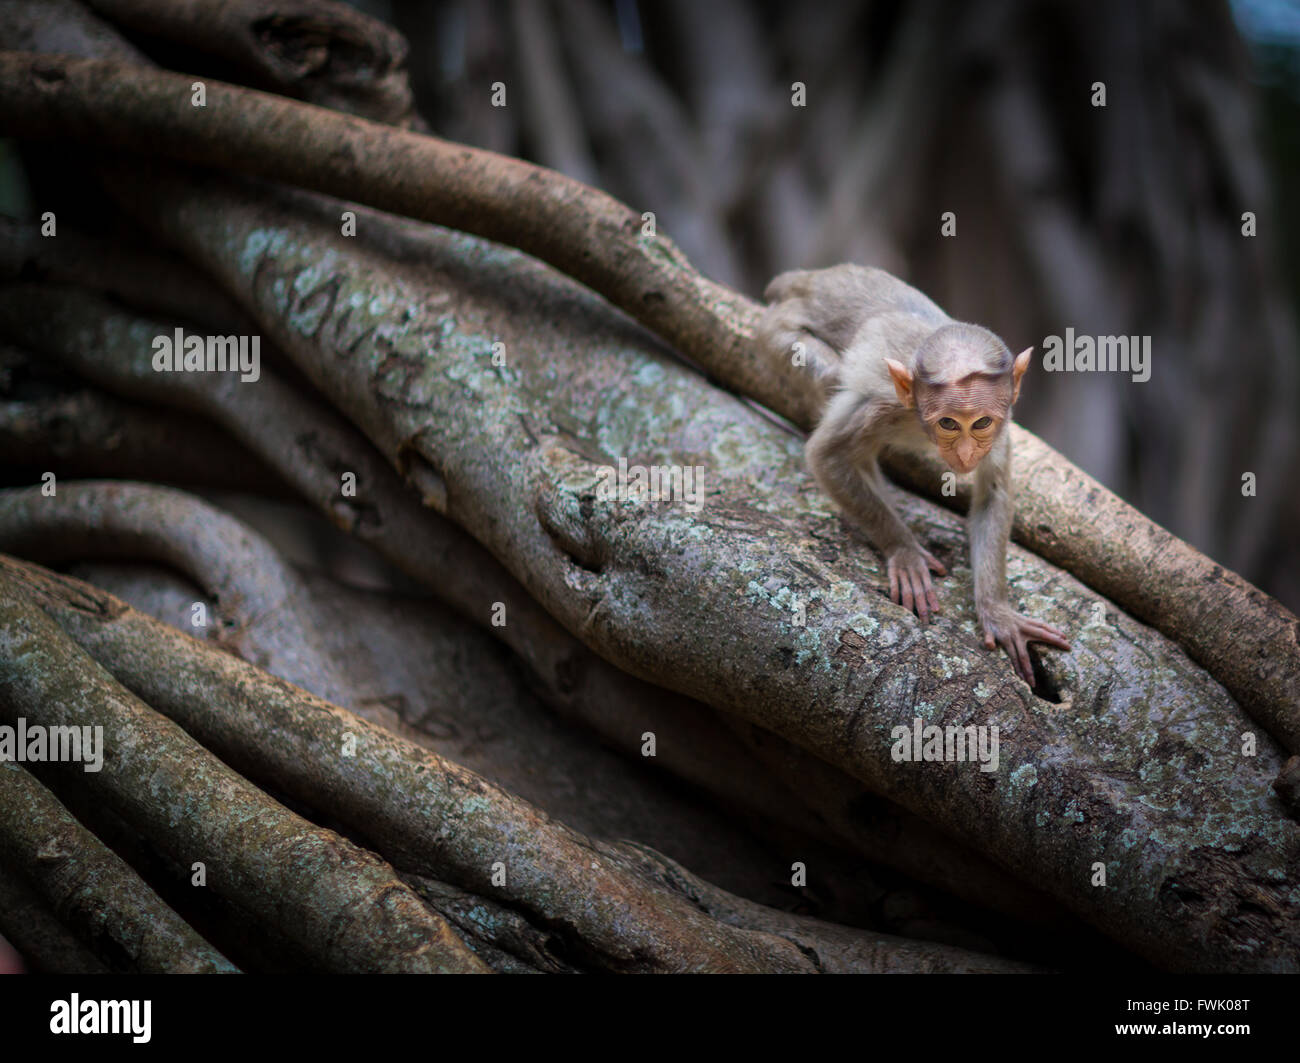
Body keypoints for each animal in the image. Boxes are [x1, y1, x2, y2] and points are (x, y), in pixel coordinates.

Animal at [759, 261, 1066, 680]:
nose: (965, 453)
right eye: (948, 423)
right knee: (833, 381)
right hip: (779, 333)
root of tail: (809, 278)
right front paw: (904, 552)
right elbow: (827, 455)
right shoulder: (882, 406)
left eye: (981, 423)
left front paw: (997, 612)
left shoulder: (1004, 423)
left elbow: (993, 495)